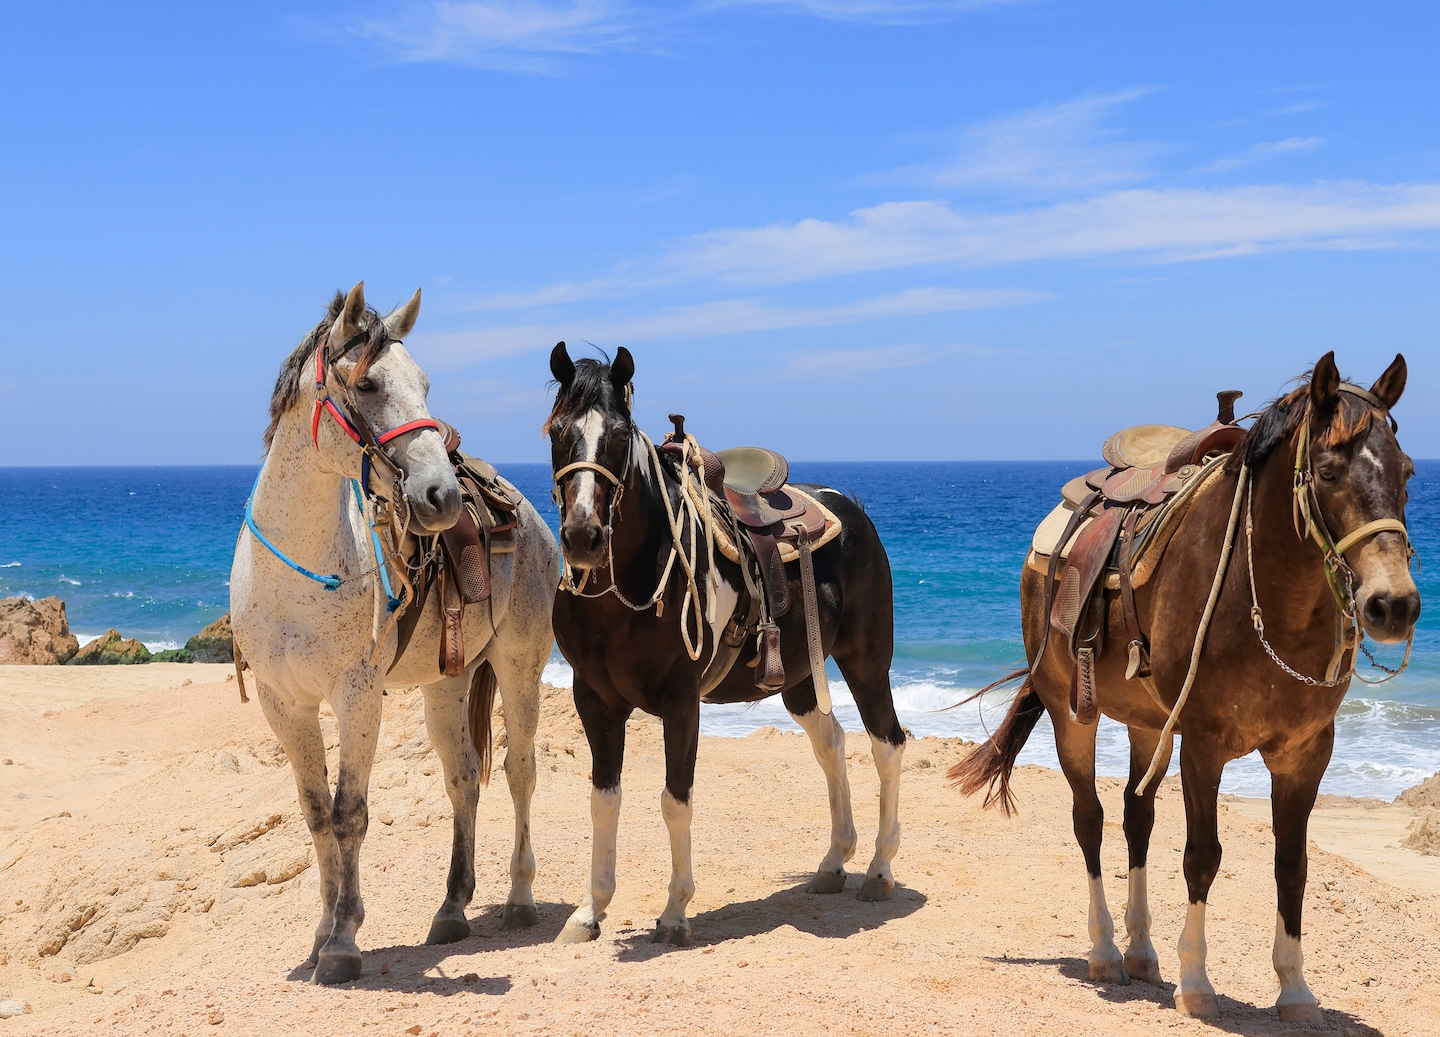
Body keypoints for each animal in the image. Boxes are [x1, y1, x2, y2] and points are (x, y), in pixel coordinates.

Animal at [230, 283, 559, 983]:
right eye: (370, 383)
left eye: (425, 383)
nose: (441, 497)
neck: (300, 573)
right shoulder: (283, 704)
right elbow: (316, 813)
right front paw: (321, 931)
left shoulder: (357, 697)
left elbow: (350, 813)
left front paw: (343, 941)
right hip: (446, 684)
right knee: (463, 778)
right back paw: (452, 909)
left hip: (520, 667)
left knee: (518, 771)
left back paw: (519, 897)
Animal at [544, 343, 907, 946]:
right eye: (555, 431)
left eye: (618, 435)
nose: (583, 537)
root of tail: (849, 507)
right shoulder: (594, 701)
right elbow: (603, 800)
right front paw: (589, 911)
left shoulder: (681, 702)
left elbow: (675, 801)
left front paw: (674, 912)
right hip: (799, 679)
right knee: (831, 742)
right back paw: (835, 861)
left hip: (867, 664)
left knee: (887, 745)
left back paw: (879, 869)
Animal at [951, 352, 1420, 1023]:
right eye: (1328, 472)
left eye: (1408, 472)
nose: (1393, 605)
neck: (1267, 599)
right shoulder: (1203, 744)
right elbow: (1203, 855)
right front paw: (1196, 983)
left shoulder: (1306, 753)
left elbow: (1292, 863)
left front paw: (1294, 988)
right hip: (1073, 715)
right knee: (1090, 819)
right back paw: (1105, 952)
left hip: (1148, 725)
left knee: (1136, 818)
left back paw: (1142, 952)